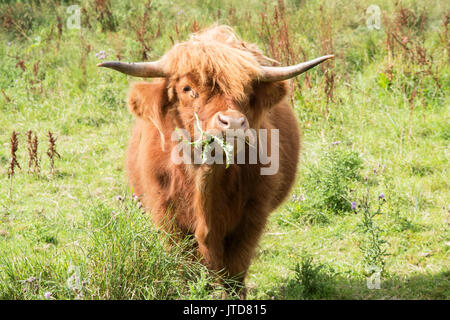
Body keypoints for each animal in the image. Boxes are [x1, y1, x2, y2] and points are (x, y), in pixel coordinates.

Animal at [97, 25, 330, 298]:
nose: (234, 123)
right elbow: (186, 269)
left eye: (248, 92)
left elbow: (234, 274)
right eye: (188, 89)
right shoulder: (168, 218)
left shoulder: (251, 218)